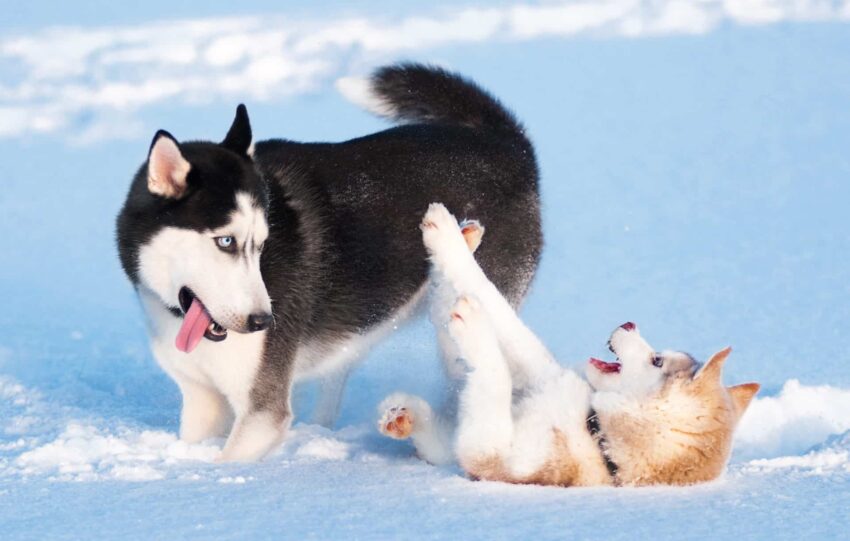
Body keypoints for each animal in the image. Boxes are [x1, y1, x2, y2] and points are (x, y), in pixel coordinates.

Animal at [378, 205, 756, 488]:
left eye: (657, 360)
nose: (628, 323)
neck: (598, 438)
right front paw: (403, 416)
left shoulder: (491, 453)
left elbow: (495, 339)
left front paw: (472, 314)